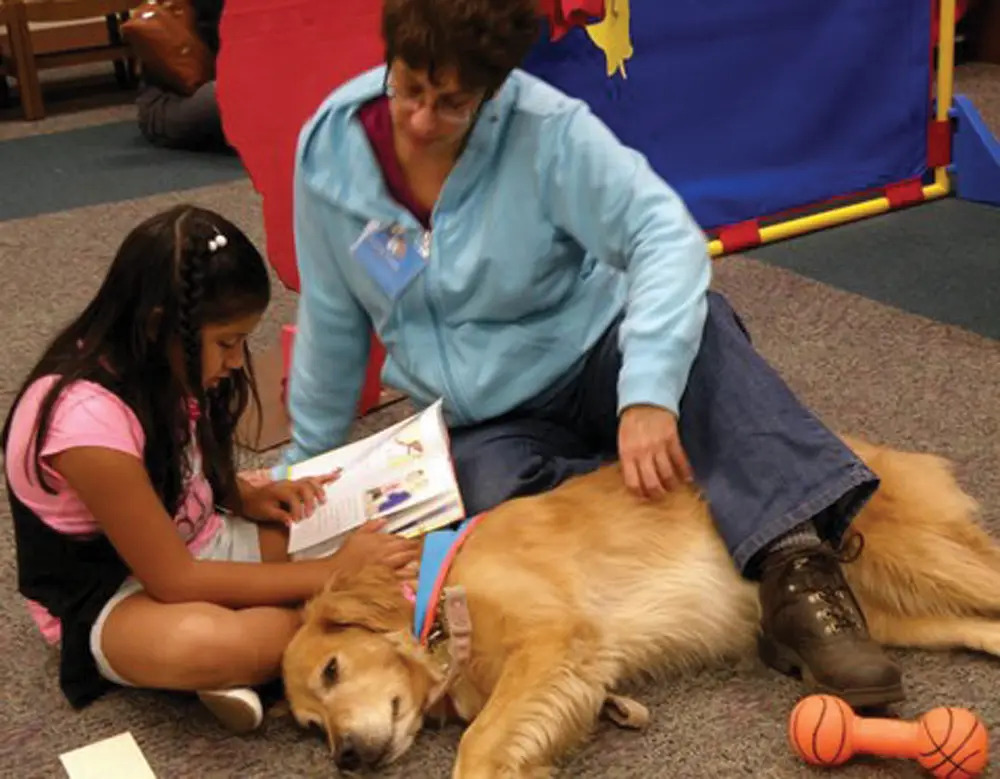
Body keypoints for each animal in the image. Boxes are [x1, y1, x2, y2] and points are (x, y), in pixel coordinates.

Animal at [282, 436, 1000, 776]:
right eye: (311, 727)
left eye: (333, 670)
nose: (345, 760)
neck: (435, 601)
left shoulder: (555, 638)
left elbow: (479, 742)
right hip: (897, 614)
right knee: (977, 628)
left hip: (914, 555)